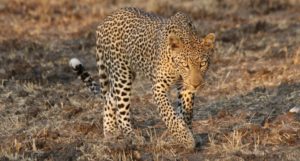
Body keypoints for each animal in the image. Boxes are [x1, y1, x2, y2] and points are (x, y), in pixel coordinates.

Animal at [69, 7, 214, 148]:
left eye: (202, 64)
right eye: (185, 65)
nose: (196, 84)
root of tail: (104, 21)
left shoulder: (185, 89)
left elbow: (186, 113)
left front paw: (187, 133)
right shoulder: (158, 87)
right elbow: (169, 115)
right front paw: (186, 139)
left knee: (110, 97)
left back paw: (110, 131)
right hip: (122, 75)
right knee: (121, 109)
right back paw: (132, 136)